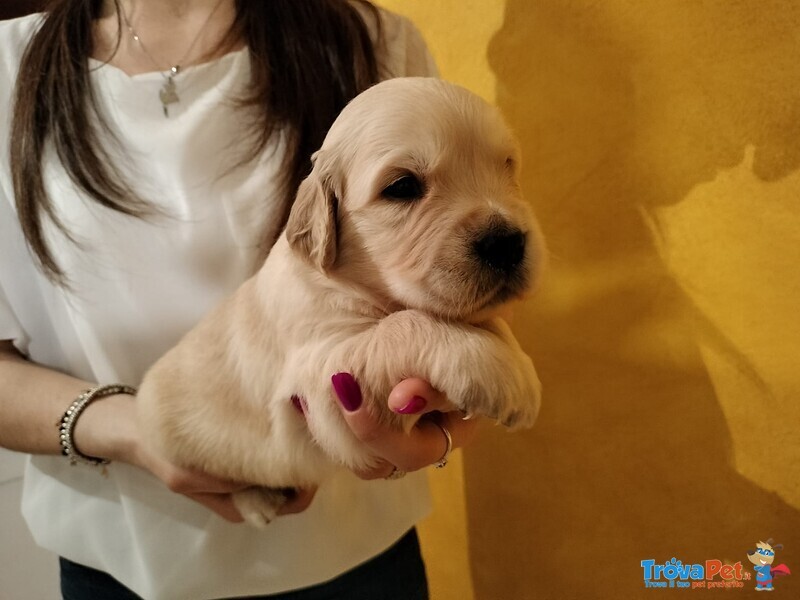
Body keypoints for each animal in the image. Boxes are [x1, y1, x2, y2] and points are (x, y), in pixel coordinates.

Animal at [139, 76, 552, 524]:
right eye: (402, 187)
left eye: (507, 166)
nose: (507, 243)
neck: (352, 283)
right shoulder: (322, 388)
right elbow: (402, 325)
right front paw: (499, 371)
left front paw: (515, 358)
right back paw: (258, 502)